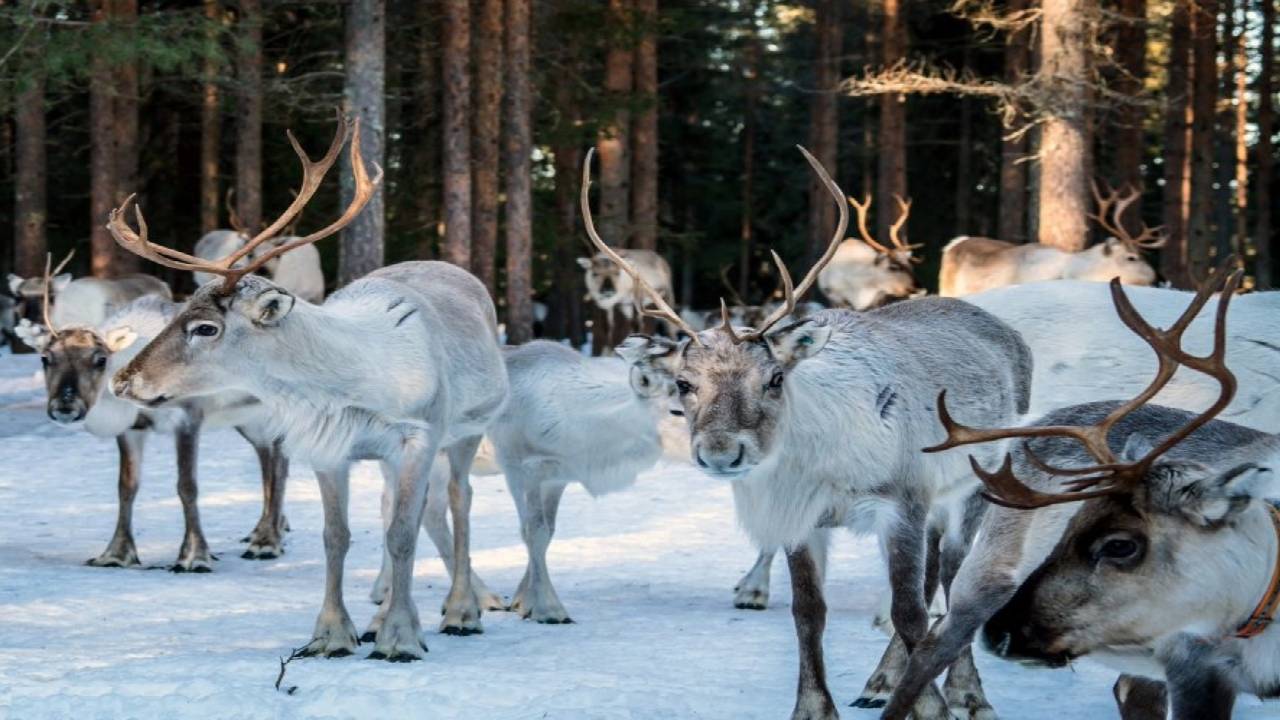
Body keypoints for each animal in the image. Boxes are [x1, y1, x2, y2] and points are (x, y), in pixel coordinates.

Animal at [25, 255, 289, 569]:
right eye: (45, 358)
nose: (65, 406)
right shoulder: (132, 429)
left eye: (100, 359)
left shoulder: (188, 418)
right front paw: (116, 554)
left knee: (280, 463)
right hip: (248, 421)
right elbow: (126, 487)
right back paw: (264, 531)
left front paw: (194, 556)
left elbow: (187, 486)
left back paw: (268, 542)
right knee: (267, 459)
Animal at [105, 113, 509, 661]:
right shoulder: (327, 449)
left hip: (467, 431)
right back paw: (381, 615)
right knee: (394, 506)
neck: (351, 382)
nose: (122, 378)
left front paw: (402, 638)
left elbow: (403, 534)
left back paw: (461, 611)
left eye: (206, 327)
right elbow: (336, 536)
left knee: (459, 501)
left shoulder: (419, 437)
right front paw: (332, 634)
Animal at [586, 145, 1033, 720]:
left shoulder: (902, 501)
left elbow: (910, 613)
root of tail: (1005, 331)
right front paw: (816, 706)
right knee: (935, 574)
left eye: (775, 378)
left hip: (974, 484)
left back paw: (967, 693)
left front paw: (932, 706)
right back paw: (882, 679)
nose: (721, 453)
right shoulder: (802, 517)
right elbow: (807, 611)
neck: (824, 463)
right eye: (684, 384)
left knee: (954, 580)